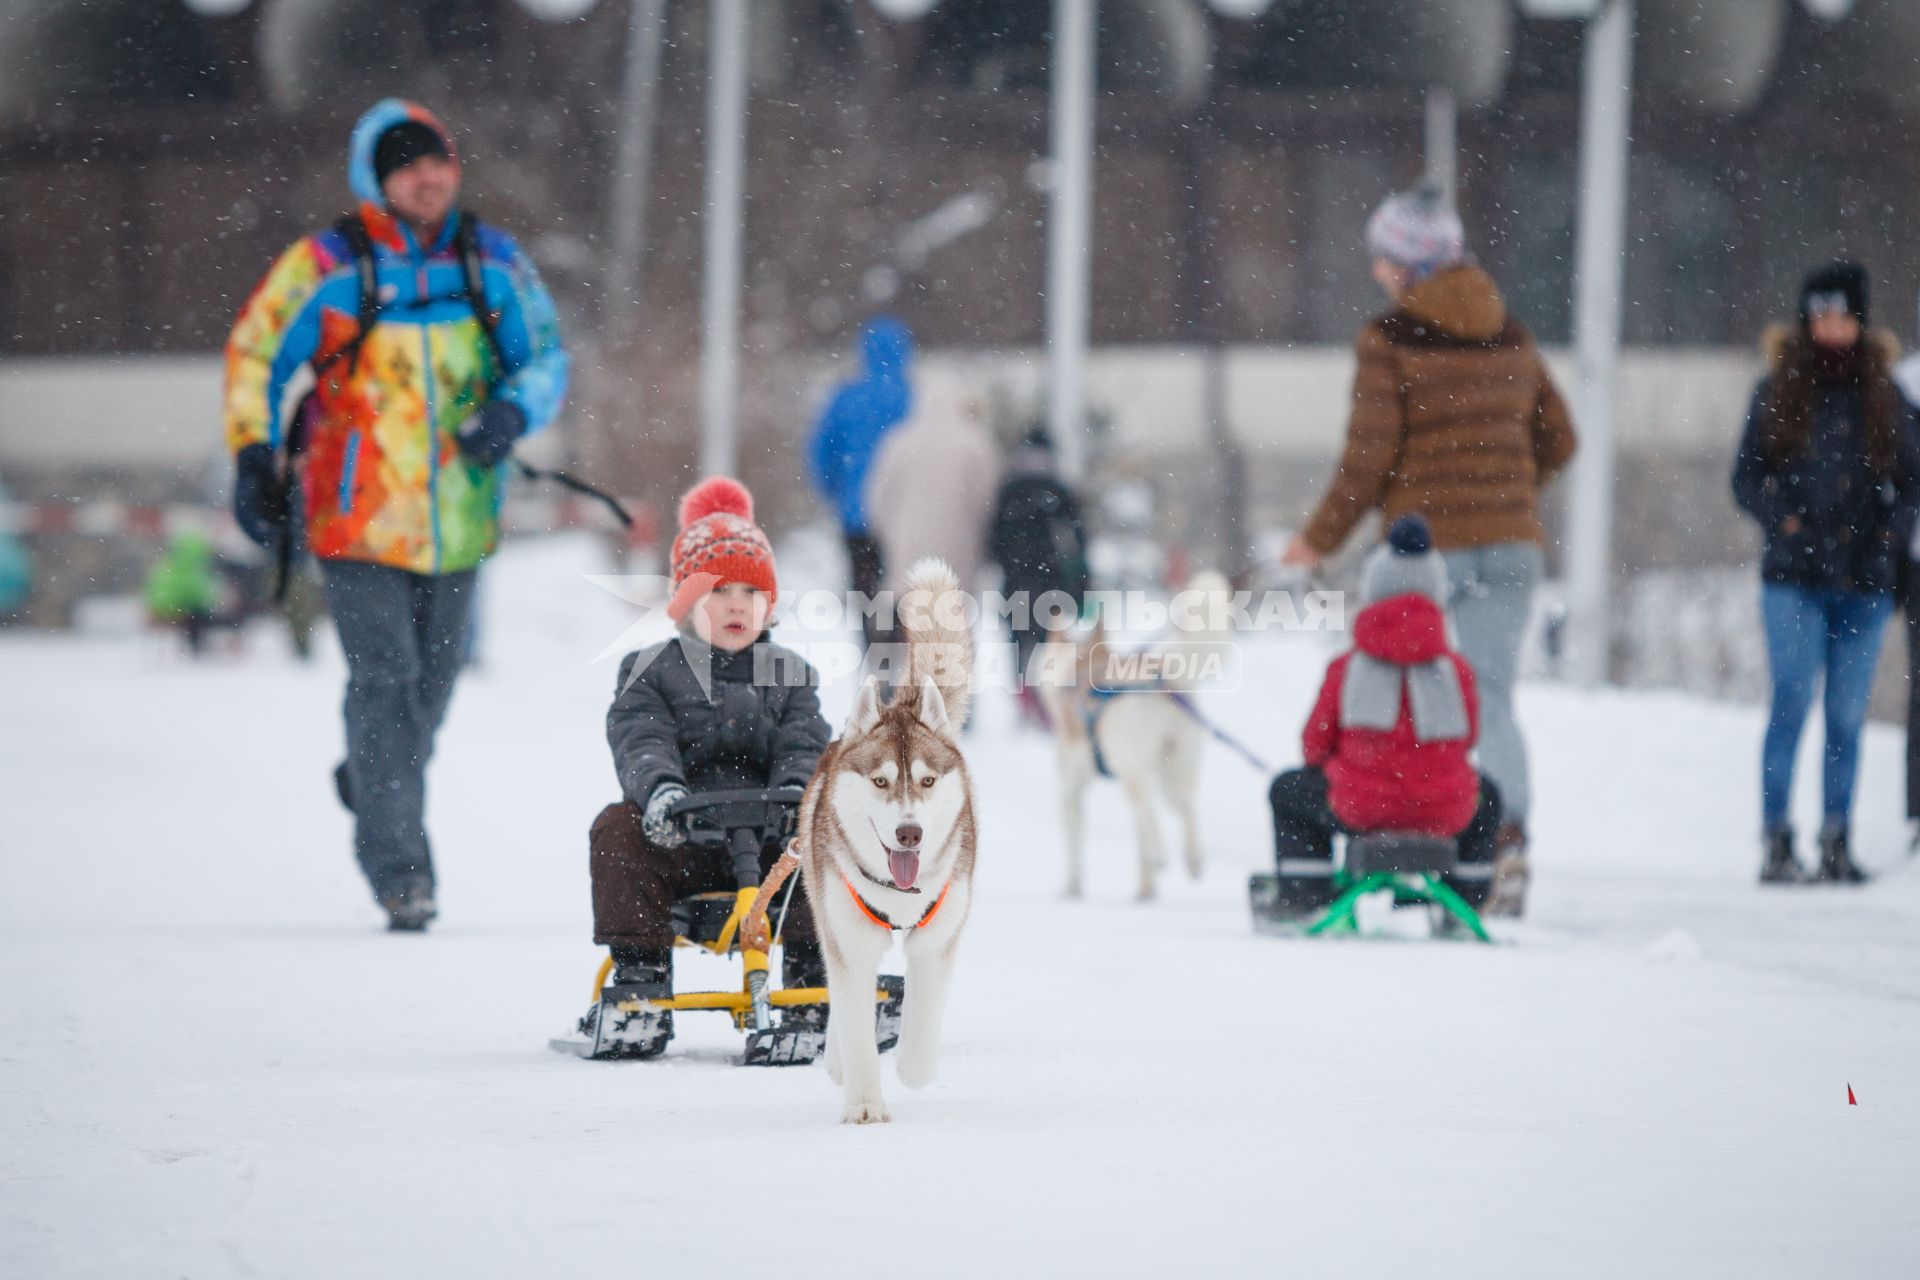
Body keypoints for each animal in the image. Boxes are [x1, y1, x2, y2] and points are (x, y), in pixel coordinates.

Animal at [791, 556, 975, 1128]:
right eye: (879, 781)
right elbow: (853, 1022)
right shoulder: (847, 941)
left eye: (927, 781)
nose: (909, 832)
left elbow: (920, 1019)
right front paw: (865, 1103)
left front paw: (910, 1069)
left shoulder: (938, 939)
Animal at [1036, 571, 1228, 901]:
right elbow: (1140, 844)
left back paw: (1163, 853)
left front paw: (1072, 889)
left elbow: (1074, 848)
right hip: (1174, 768)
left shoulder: (1070, 790)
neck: (1081, 663)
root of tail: (1157, 676)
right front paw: (1146, 889)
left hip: (1133, 770)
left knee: (1149, 812)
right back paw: (1193, 859)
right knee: (1184, 806)